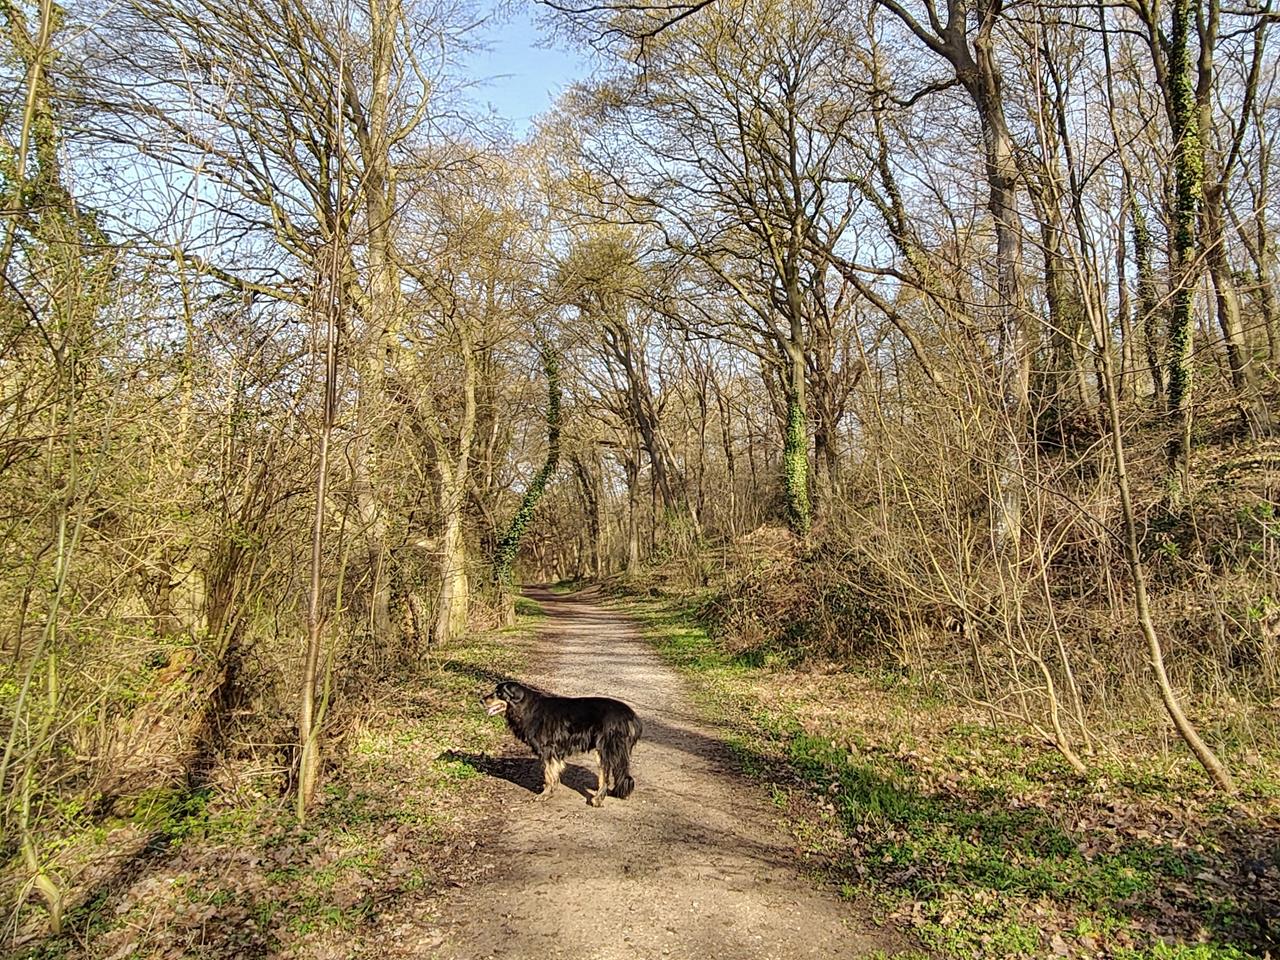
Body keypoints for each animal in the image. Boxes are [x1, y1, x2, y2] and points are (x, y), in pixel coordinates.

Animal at [480, 681, 642, 806]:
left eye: (499, 693)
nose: (481, 700)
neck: (526, 707)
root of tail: (631, 716)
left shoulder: (547, 750)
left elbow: (548, 774)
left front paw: (544, 794)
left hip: (605, 749)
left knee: (606, 776)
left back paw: (597, 800)